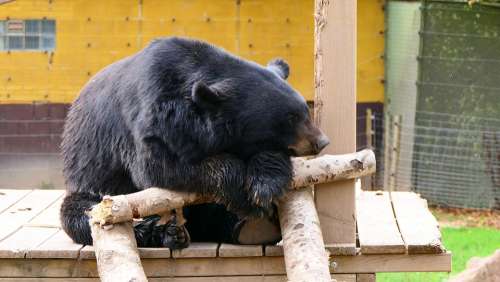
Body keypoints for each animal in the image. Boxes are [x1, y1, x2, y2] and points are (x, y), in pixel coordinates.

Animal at [59, 37, 328, 249]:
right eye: (290, 118)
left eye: (305, 111)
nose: (322, 141)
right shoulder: (151, 117)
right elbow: (159, 167)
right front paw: (242, 191)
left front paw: (264, 187)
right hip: (91, 183)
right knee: (81, 213)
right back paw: (158, 231)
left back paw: (251, 227)